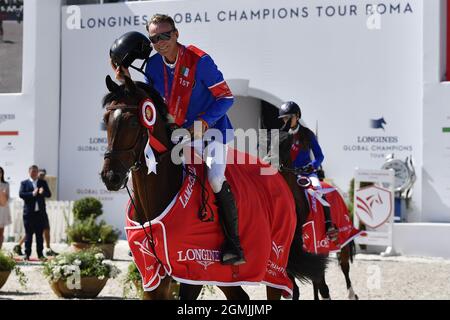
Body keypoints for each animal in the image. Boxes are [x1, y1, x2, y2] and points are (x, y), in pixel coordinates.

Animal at [100, 75, 326, 300]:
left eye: (132, 121)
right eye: (105, 120)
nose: (110, 177)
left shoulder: (197, 268)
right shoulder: (153, 275)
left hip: (275, 260)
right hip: (226, 274)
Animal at [274, 128, 358, 300]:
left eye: (285, 147)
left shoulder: (318, 248)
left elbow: (322, 286)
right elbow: (296, 290)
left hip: (342, 239)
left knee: (344, 267)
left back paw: (352, 294)